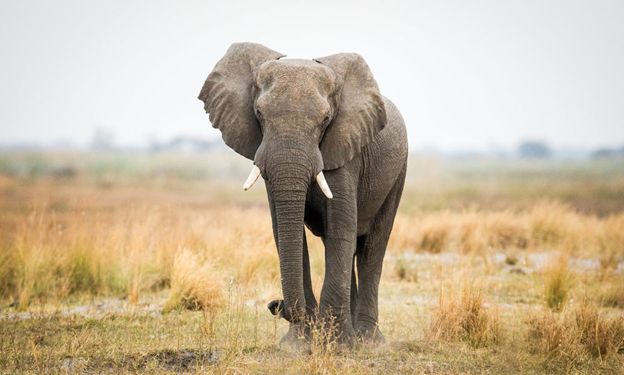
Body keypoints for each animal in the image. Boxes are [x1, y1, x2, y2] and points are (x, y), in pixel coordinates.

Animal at [197, 42, 408, 348]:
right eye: (259, 113)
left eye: (326, 119)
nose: (275, 304)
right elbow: (287, 232)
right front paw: (298, 345)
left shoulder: (345, 149)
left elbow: (340, 228)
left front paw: (336, 346)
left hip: (399, 171)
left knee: (371, 247)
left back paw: (368, 342)